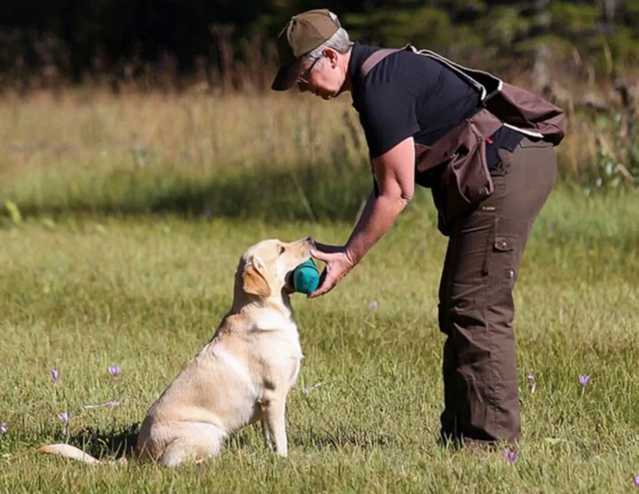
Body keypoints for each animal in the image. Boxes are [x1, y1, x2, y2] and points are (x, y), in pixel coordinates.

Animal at [38, 237, 314, 466]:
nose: (311, 239)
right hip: (209, 431)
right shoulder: (273, 397)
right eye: (281, 249)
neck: (265, 309)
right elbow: (280, 437)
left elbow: (269, 436)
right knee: (174, 463)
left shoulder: (268, 403)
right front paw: (283, 460)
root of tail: (139, 455)